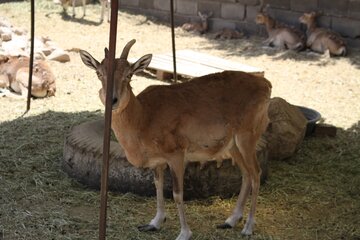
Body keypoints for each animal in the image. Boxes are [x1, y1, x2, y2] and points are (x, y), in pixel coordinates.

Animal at [79, 39, 270, 240]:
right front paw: (154, 223)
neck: (144, 117)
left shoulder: (176, 154)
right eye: (99, 73)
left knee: (256, 173)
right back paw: (230, 220)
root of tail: (266, 84)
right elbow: (158, 185)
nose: (113, 101)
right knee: (246, 174)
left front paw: (184, 233)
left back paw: (248, 227)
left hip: (247, 137)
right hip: (233, 146)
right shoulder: (158, 161)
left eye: (129, 74)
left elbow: (177, 193)